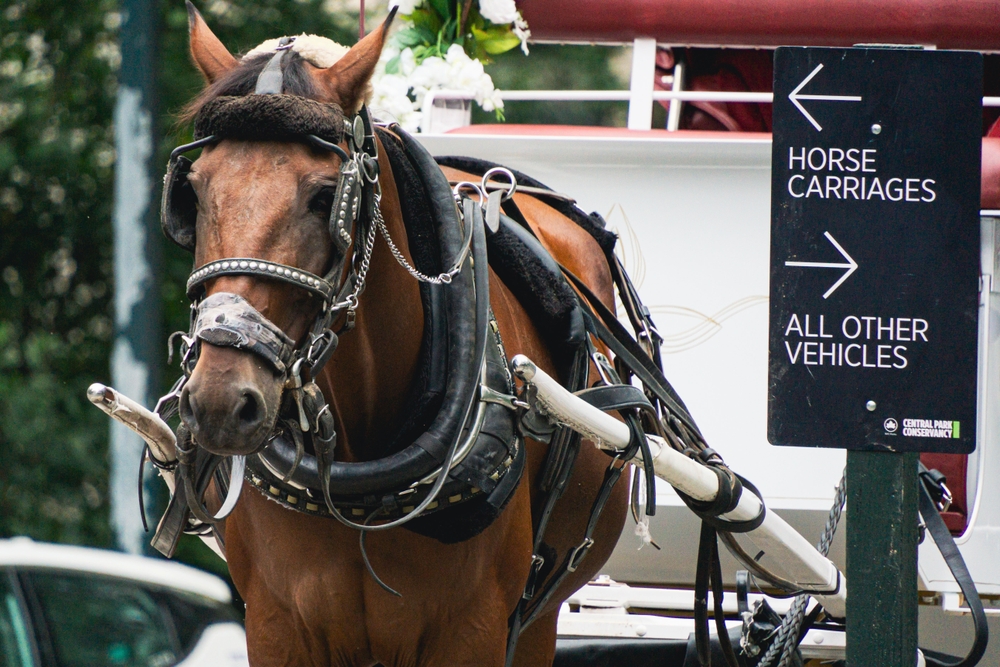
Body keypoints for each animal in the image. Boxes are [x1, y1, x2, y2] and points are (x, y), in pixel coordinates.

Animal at [167, 5, 632, 665]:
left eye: (324, 197)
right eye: (194, 189)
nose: (220, 401)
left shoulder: (474, 630)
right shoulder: (277, 625)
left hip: (538, 620)